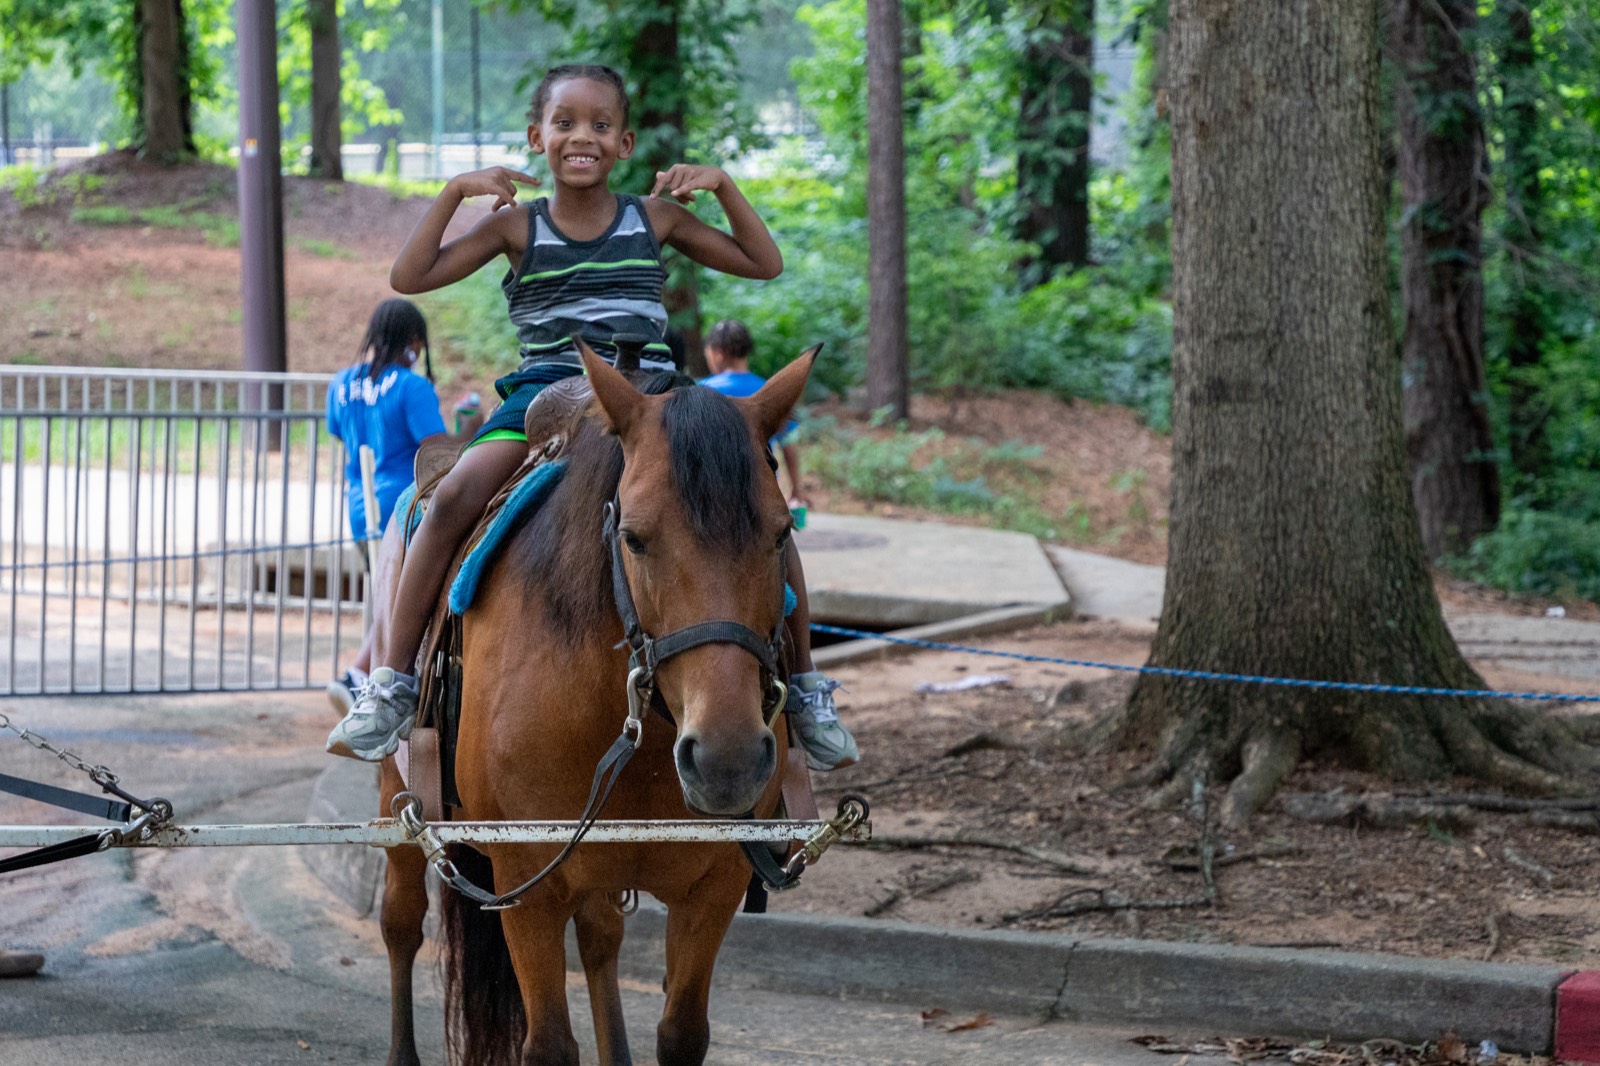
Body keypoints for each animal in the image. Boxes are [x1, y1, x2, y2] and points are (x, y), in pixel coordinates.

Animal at [376, 340, 815, 1066]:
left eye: (782, 536)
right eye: (633, 537)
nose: (725, 761)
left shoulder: (715, 885)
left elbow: (681, 1034)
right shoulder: (527, 882)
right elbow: (550, 1044)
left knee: (601, 937)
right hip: (398, 799)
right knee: (401, 924)